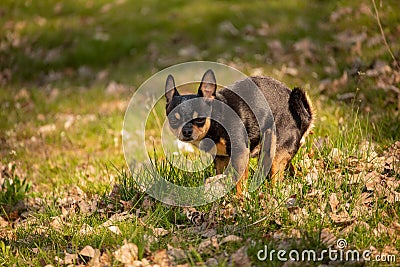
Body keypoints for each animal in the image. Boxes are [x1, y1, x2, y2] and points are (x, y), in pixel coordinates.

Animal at [164, 69, 314, 197]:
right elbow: (222, 175)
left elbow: (238, 180)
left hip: (275, 153)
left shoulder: (240, 154)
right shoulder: (221, 158)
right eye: (173, 119)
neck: (216, 119)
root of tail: (304, 118)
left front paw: (239, 198)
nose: (186, 131)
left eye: (200, 119)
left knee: (276, 178)